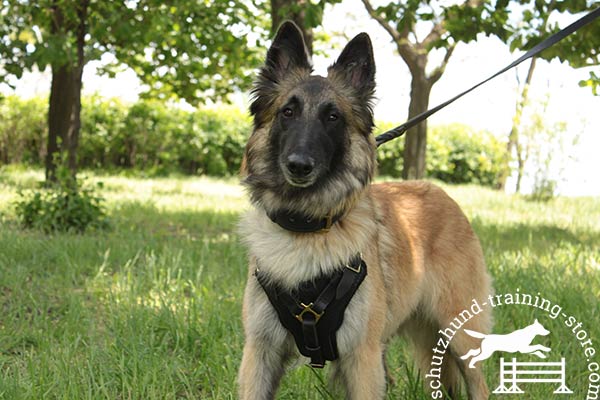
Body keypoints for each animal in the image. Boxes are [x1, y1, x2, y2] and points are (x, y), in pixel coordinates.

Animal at [238, 22, 492, 400]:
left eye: (333, 117)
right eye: (288, 112)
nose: (299, 165)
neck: (307, 227)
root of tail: (440, 193)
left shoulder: (362, 358)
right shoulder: (260, 352)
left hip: (459, 334)